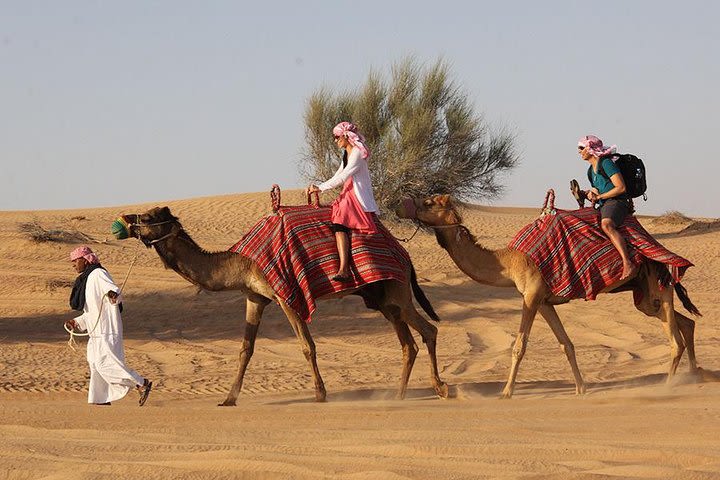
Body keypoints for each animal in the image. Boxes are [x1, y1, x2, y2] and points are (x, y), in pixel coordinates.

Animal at [117, 207, 448, 404]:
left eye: (148, 218)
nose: (126, 219)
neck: (241, 262)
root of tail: (404, 254)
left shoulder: (286, 295)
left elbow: (307, 346)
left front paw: (320, 393)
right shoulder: (255, 297)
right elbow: (245, 349)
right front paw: (228, 399)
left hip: (397, 290)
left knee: (429, 330)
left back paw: (440, 388)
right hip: (381, 298)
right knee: (408, 343)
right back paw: (397, 395)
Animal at [396, 194, 700, 398]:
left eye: (429, 202)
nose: (402, 204)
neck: (509, 261)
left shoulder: (531, 295)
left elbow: (519, 346)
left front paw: (506, 392)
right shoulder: (543, 301)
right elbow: (566, 344)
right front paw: (581, 388)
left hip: (659, 281)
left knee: (675, 339)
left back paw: (668, 386)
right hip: (646, 296)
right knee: (685, 323)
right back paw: (696, 375)